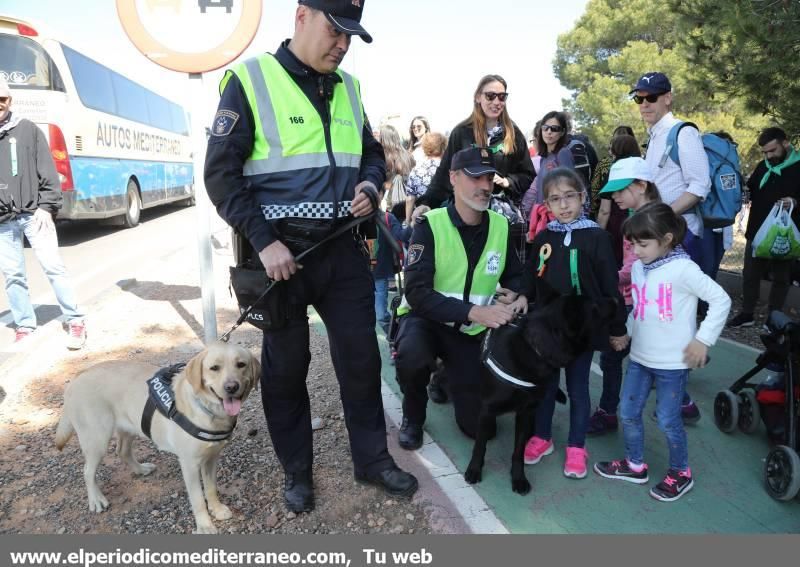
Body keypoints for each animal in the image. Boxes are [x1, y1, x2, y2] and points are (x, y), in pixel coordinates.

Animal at [57, 344, 262, 536]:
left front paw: (217, 509)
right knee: (87, 471)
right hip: (96, 440)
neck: (209, 411)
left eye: (241, 364)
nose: (232, 387)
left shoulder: (211, 459)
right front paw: (204, 525)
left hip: (130, 426)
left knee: (122, 451)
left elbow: (211, 488)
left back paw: (140, 469)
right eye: (214, 368)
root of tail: (76, 378)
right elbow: (197, 499)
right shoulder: (189, 464)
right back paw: (96, 499)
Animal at [462, 282, 620, 494]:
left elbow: (518, 451)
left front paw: (518, 478)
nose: (616, 300)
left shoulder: (526, 412)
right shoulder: (487, 410)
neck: (535, 349)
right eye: (594, 305)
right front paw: (474, 470)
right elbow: (480, 446)